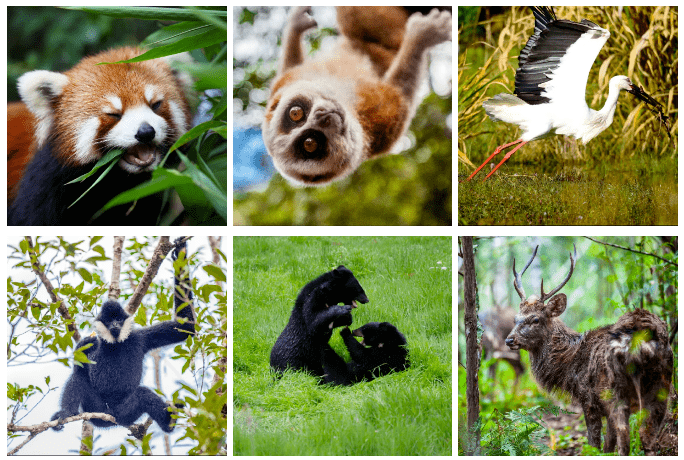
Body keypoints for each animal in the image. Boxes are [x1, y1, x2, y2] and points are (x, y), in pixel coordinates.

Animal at [504, 246, 672, 454]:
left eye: (535, 319)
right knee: (647, 434)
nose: (509, 340)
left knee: (625, 433)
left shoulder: (589, 399)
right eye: (515, 318)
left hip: (616, 390)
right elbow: (608, 443)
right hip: (662, 386)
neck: (569, 365)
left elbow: (595, 441)